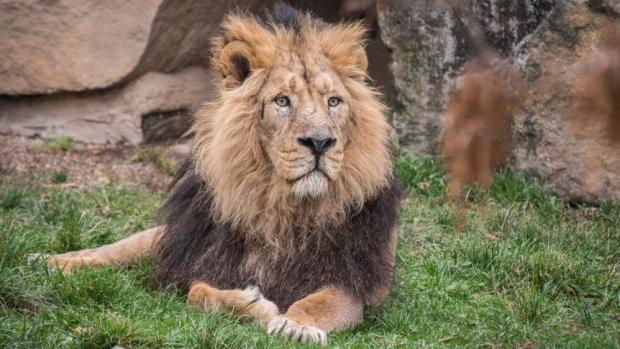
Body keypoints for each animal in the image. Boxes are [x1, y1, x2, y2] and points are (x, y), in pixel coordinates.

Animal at [43, 4, 402, 344]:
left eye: (334, 102)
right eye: (282, 101)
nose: (320, 142)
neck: (283, 210)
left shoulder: (353, 281)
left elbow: (320, 303)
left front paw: (297, 326)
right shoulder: (207, 261)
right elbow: (199, 293)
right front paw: (249, 304)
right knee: (109, 252)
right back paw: (46, 261)